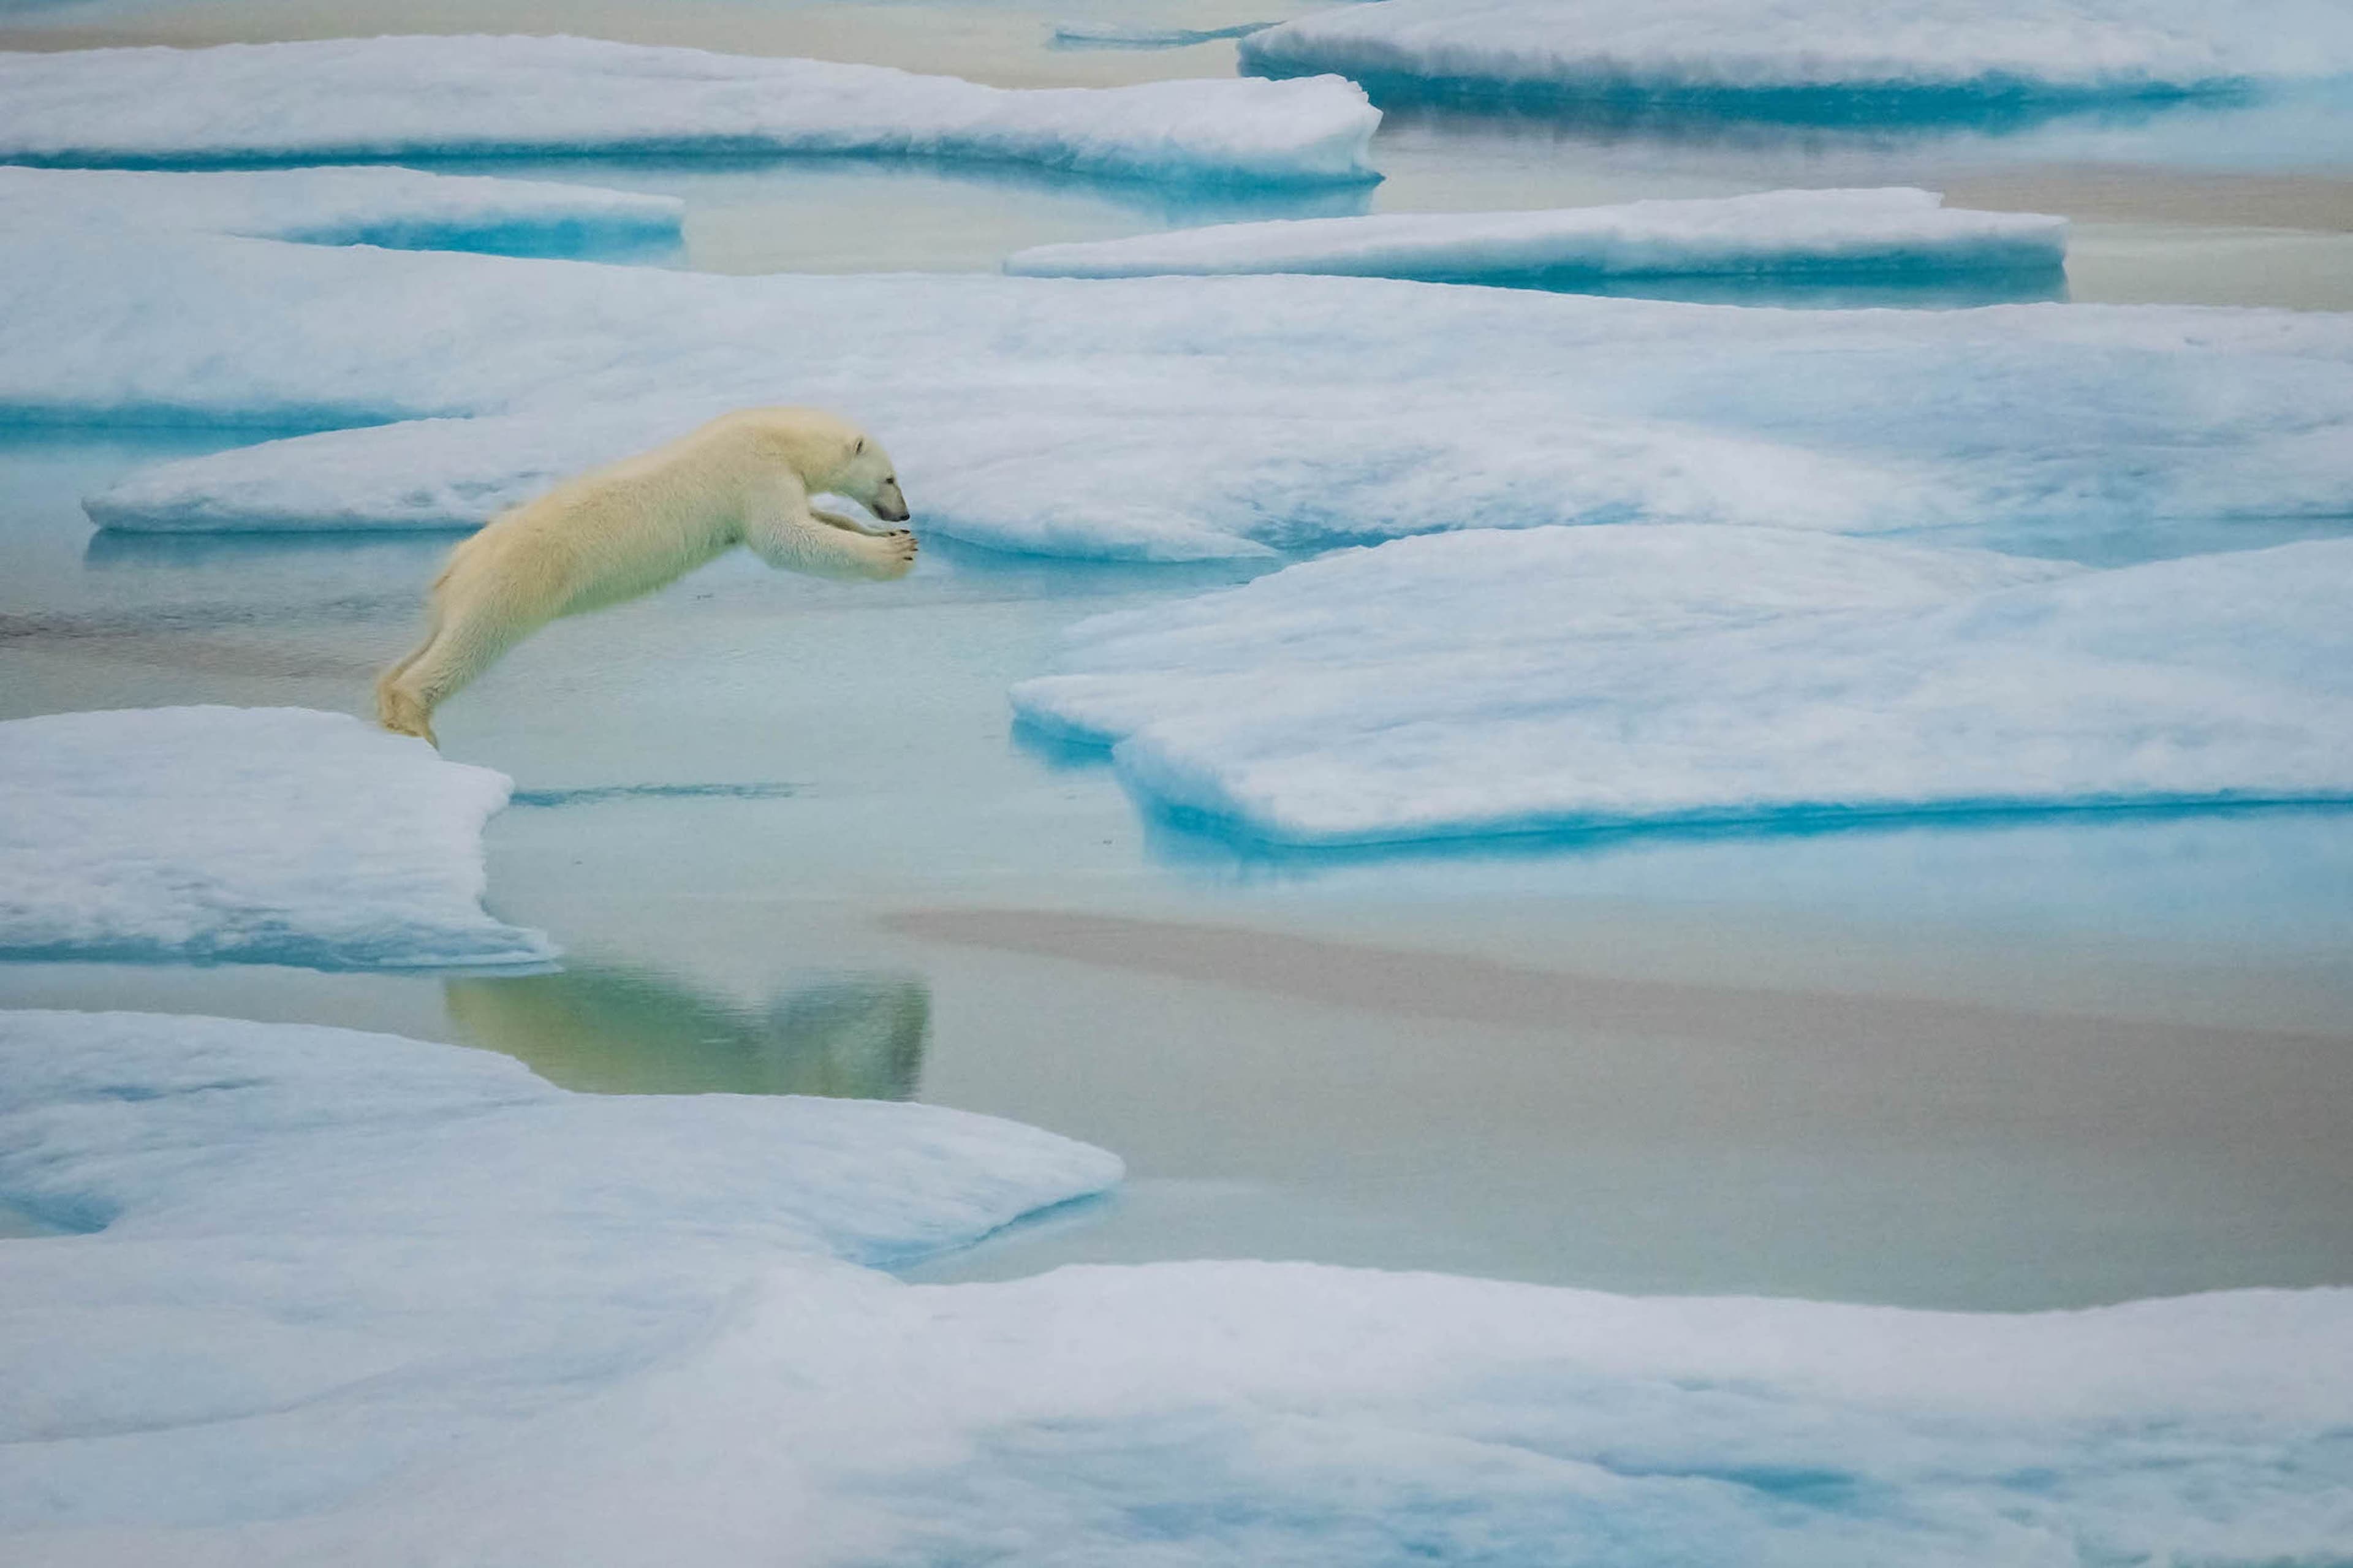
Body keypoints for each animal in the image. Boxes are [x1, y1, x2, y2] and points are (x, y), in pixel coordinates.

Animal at [376, 406, 916, 745]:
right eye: (890, 477)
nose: (904, 514)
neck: (776, 435)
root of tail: (455, 564)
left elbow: (816, 520)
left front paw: (885, 536)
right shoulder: (754, 473)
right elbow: (786, 537)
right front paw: (896, 554)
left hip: (465, 592)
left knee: (431, 641)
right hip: (514, 582)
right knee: (472, 642)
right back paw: (415, 718)